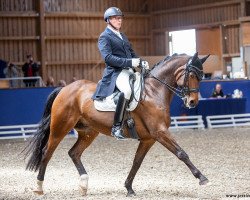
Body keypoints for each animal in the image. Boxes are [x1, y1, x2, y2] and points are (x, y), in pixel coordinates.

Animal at [24, 52, 209, 196]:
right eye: (192, 75)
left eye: (201, 77)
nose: (192, 102)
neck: (154, 92)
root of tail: (64, 88)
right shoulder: (160, 132)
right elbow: (181, 153)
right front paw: (202, 178)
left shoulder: (148, 139)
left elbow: (137, 162)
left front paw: (129, 188)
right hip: (60, 128)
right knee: (47, 152)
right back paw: (39, 187)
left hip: (88, 132)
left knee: (74, 153)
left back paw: (83, 185)